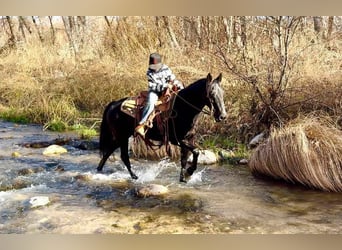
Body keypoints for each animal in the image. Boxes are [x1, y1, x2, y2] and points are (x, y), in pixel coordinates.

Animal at [96, 73, 227, 183]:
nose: (222, 116)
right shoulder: (178, 140)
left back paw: (99, 170)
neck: (183, 109)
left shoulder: (189, 139)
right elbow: (196, 151)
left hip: (121, 137)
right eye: (211, 93)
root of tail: (113, 104)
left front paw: (183, 177)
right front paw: (189, 172)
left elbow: (184, 159)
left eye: (222, 93)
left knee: (108, 152)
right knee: (123, 156)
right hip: (122, 137)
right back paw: (135, 177)